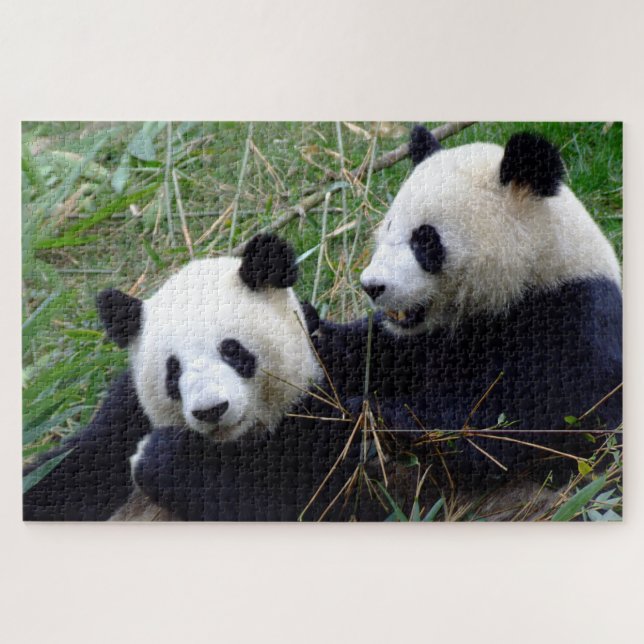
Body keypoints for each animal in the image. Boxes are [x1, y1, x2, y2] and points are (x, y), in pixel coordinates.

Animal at [23, 234, 334, 521]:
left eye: (232, 350)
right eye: (173, 371)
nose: (211, 410)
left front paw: (159, 457)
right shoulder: (124, 418)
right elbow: (66, 473)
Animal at [131, 127, 622, 519]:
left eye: (425, 240)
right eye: (386, 228)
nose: (372, 286)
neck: (534, 274)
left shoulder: (569, 327)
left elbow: (494, 436)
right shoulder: (416, 343)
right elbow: (357, 354)